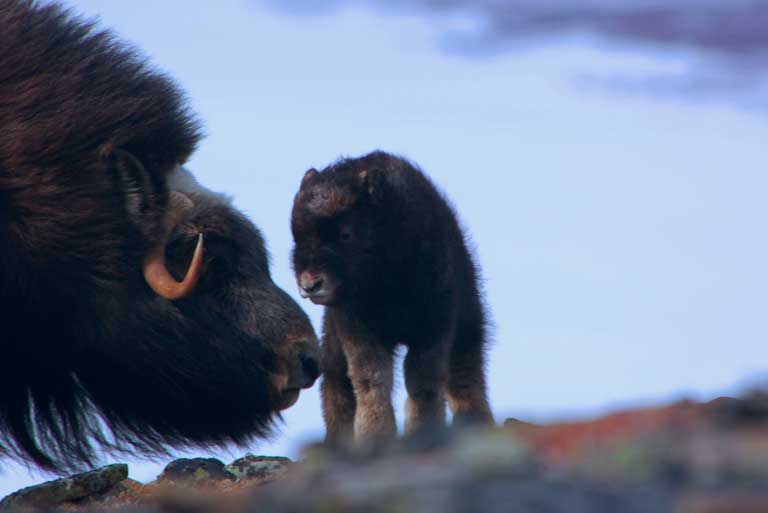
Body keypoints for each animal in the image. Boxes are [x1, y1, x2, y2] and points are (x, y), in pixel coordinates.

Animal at [292, 150, 496, 446]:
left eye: (345, 233)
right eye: (297, 235)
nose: (310, 284)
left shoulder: (434, 325)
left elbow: (423, 382)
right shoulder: (357, 328)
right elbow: (371, 379)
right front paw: (375, 436)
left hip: (468, 324)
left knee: (466, 376)